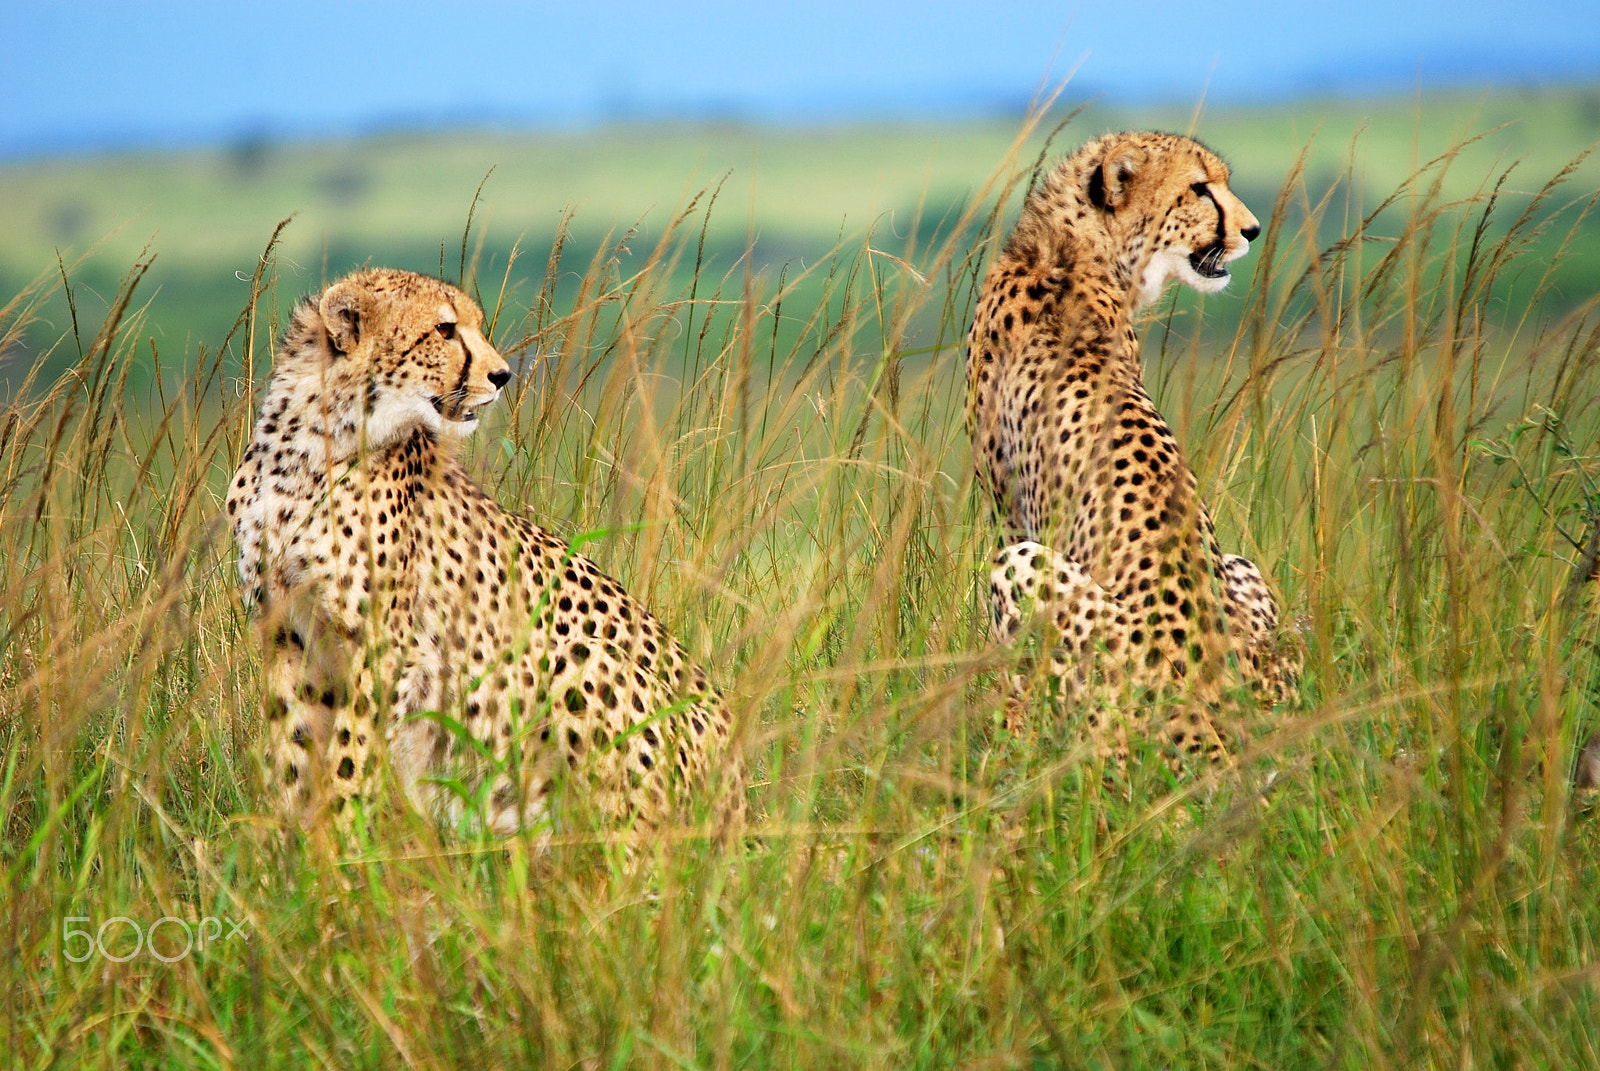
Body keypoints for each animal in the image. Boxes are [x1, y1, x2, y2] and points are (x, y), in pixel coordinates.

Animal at [226, 267, 744, 840]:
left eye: (470, 325)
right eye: (444, 330)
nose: (502, 376)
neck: (312, 446)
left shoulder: (382, 648)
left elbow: (348, 756)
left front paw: (341, 841)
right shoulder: (286, 630)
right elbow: (293, 751)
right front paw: (286, 844)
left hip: (582, 657)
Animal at [966, 131, 1301, 768]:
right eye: (1198, 188)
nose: (1251, 230)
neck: (1072, 247)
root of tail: (1212, 717)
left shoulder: (1009, 512)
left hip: (1026, 570)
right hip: (1242, 571)